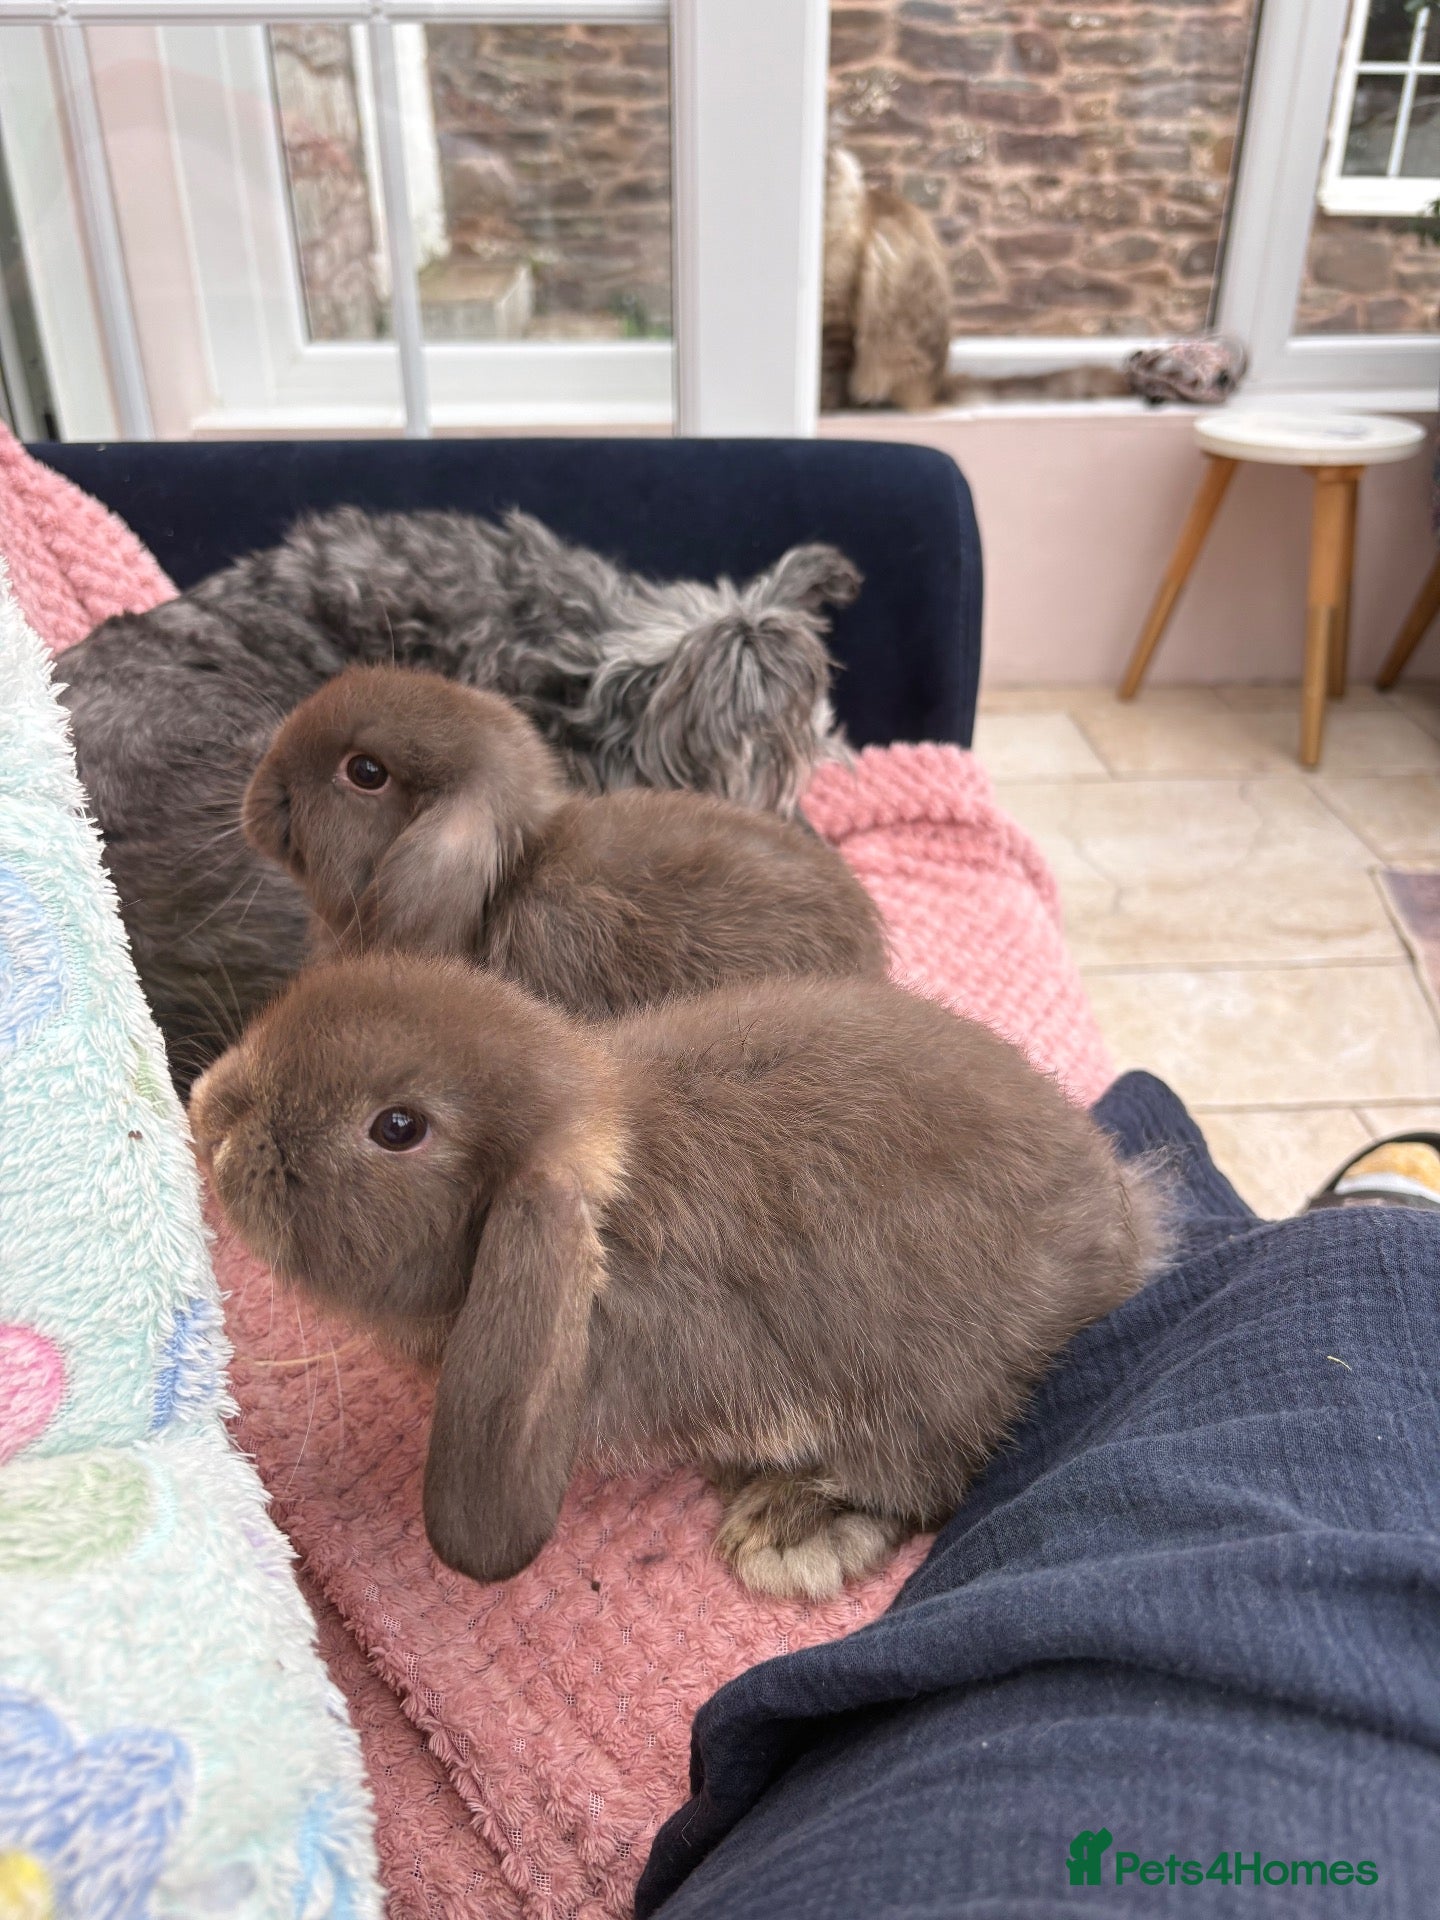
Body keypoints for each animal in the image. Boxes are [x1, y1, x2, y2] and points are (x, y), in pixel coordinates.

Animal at [188, 954, 1168, 1600]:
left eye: (397, 1127)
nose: (209, 1113)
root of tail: (1122, 1230)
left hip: (926, 1383)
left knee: (926, 1480)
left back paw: (787, 1526)